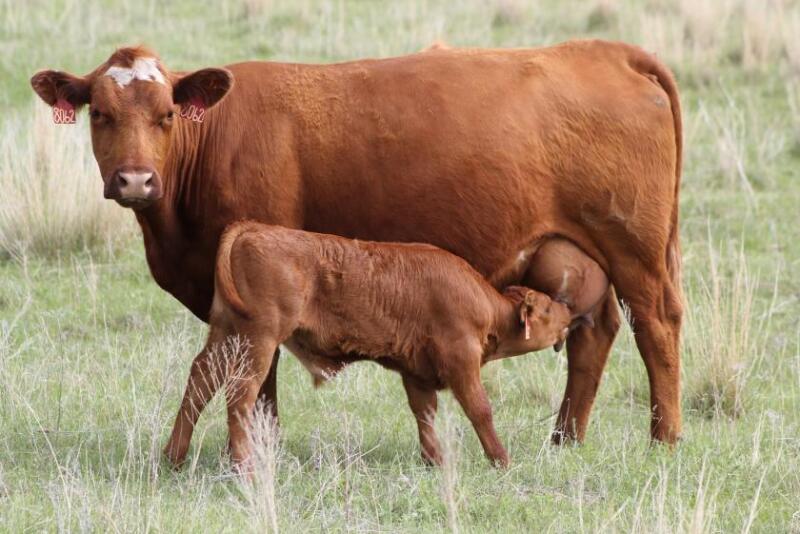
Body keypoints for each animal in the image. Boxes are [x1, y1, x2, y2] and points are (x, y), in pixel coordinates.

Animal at [164, 222, 573, 469]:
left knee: (200, 381)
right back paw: (243, 466)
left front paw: (434, 461)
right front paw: (501, 459)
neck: (484, 304)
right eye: (546, 308)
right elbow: (480, 410)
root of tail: (255, 229)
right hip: (258, 341)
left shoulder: (417, 373)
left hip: (226, 335)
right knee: (240, 394)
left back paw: (174, 457)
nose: (569, 311)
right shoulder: (461, 362)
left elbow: (425, 414)